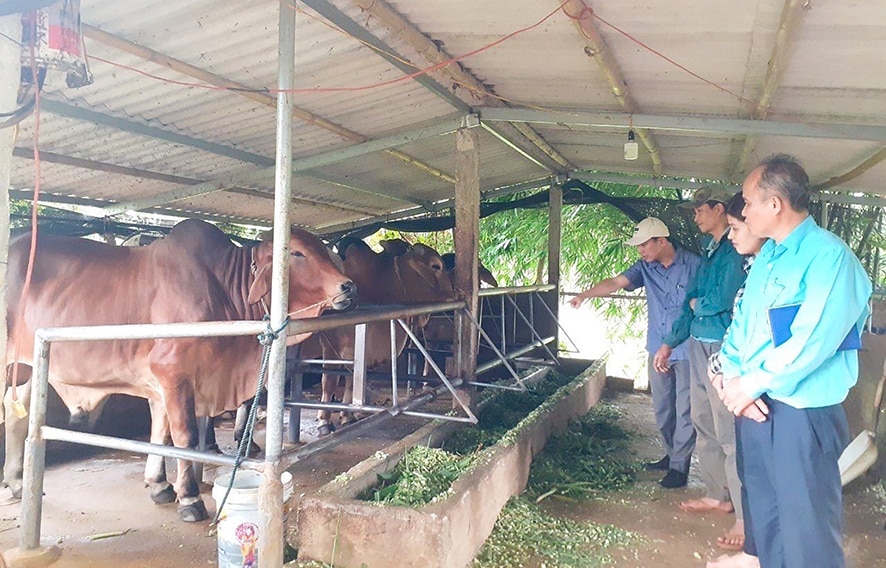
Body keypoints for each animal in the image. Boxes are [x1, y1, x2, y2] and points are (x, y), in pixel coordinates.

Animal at [4, 220, 358, 520]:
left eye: (322, 249)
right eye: (296, 253)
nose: (347, 286)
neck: (224, 286)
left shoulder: (163, 383)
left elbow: (160, 434)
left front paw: (160, 485)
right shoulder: (172, 374)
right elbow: (184, 437)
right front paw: (189, 497)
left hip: (26, 368)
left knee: (17, 416)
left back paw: (17, 482)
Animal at [306, 237, 458, 432]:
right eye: (436, 266)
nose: (453, 293)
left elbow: (351, 382)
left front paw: (347, 416)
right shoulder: (332, 347)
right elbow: (329, 381)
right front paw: (324, 421)